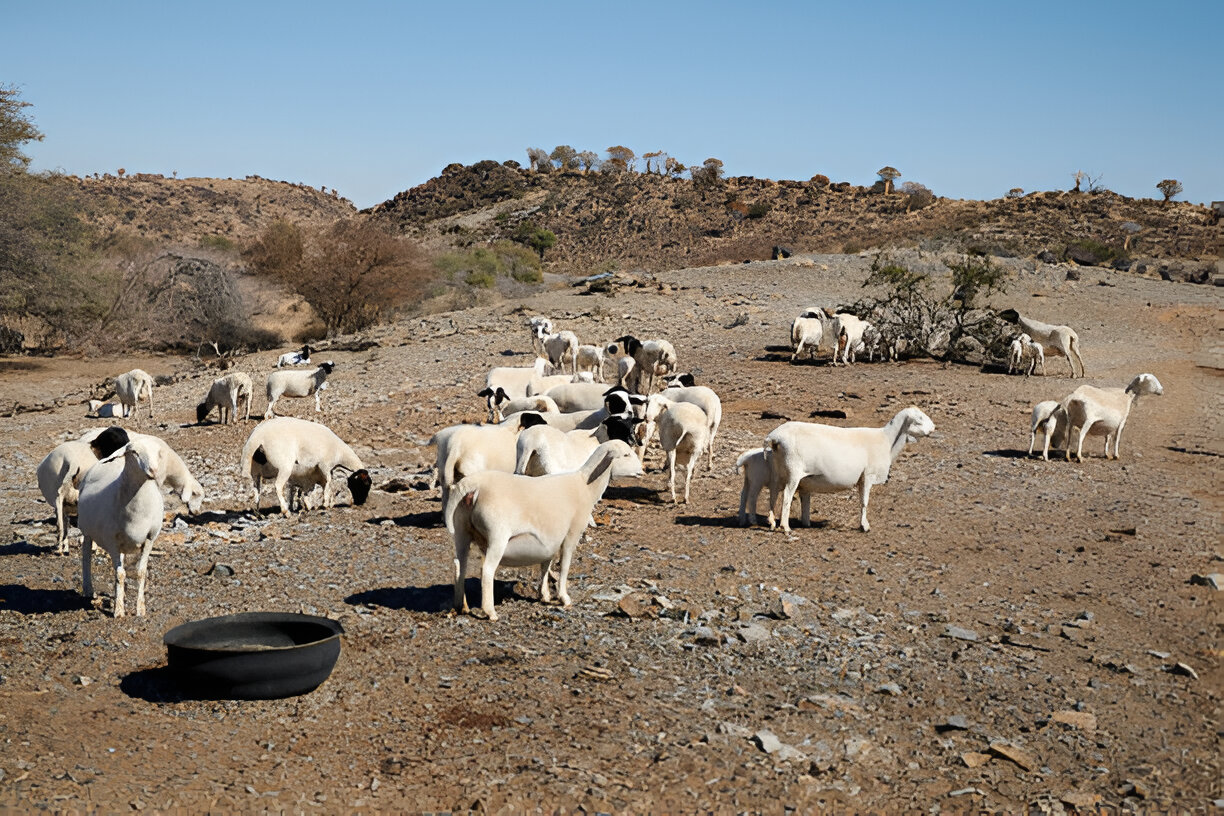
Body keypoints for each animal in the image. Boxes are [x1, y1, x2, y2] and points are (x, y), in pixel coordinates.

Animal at [77, 437, 166, 617]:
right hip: (87, 530)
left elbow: (140, 572)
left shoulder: (149, 539)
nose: (153, 470)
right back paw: (88, 589)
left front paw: (140, 609)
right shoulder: (111, 541)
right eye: (134, 452)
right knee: (86, 556)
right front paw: (118, 611)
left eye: (157, 452)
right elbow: (120, 574)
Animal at [240, 417, 372, 515]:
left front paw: (326, 502)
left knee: (257, 489)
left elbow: (327, 483)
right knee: (278, 486)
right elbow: (328, 482)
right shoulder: (324, 464)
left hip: (255, 470)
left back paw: (258, 513)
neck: (340, 453)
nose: (360, 502)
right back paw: (285, 511)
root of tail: (256, 438)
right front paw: (325, 503)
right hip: (284, 465)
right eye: (363, 484)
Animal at [446, 441, 643, 621]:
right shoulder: (572, 532)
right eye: (626, 455)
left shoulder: (551, 538)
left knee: (459, 564)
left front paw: (545, 595)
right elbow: (564, 565)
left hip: (461, 530)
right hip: (497, 534)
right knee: (486, 570)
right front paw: (564, 598)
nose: (642, 471)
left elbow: (546, 565)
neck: (586, 486)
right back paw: (490, 612)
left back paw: (461, 605)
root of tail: (473, 487)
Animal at [764, 406, 935, 533]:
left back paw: (772, 522)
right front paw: (864, 526)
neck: (887, 440)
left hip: (777, 471)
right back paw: (785, 527)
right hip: (793, 471)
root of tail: (774, 437)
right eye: (919, 419)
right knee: (787, 496)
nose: (933, 428)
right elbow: (864, 502)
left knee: (773, 493)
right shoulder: (868, 476)